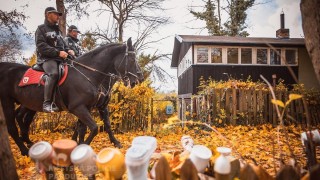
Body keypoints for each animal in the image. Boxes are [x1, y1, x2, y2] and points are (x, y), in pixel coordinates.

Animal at [0, 37, 142, 155]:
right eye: (132, 59)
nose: (138, 79)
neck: (88, 74)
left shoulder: (95, 107)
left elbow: (95, 126)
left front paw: (114, 142)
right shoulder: (78, 108)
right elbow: (94, 128)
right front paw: (82, 145)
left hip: (29, 104)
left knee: (22, 118)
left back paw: (28, 142)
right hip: (7, 102)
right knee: (12, 127)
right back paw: (25, 149)